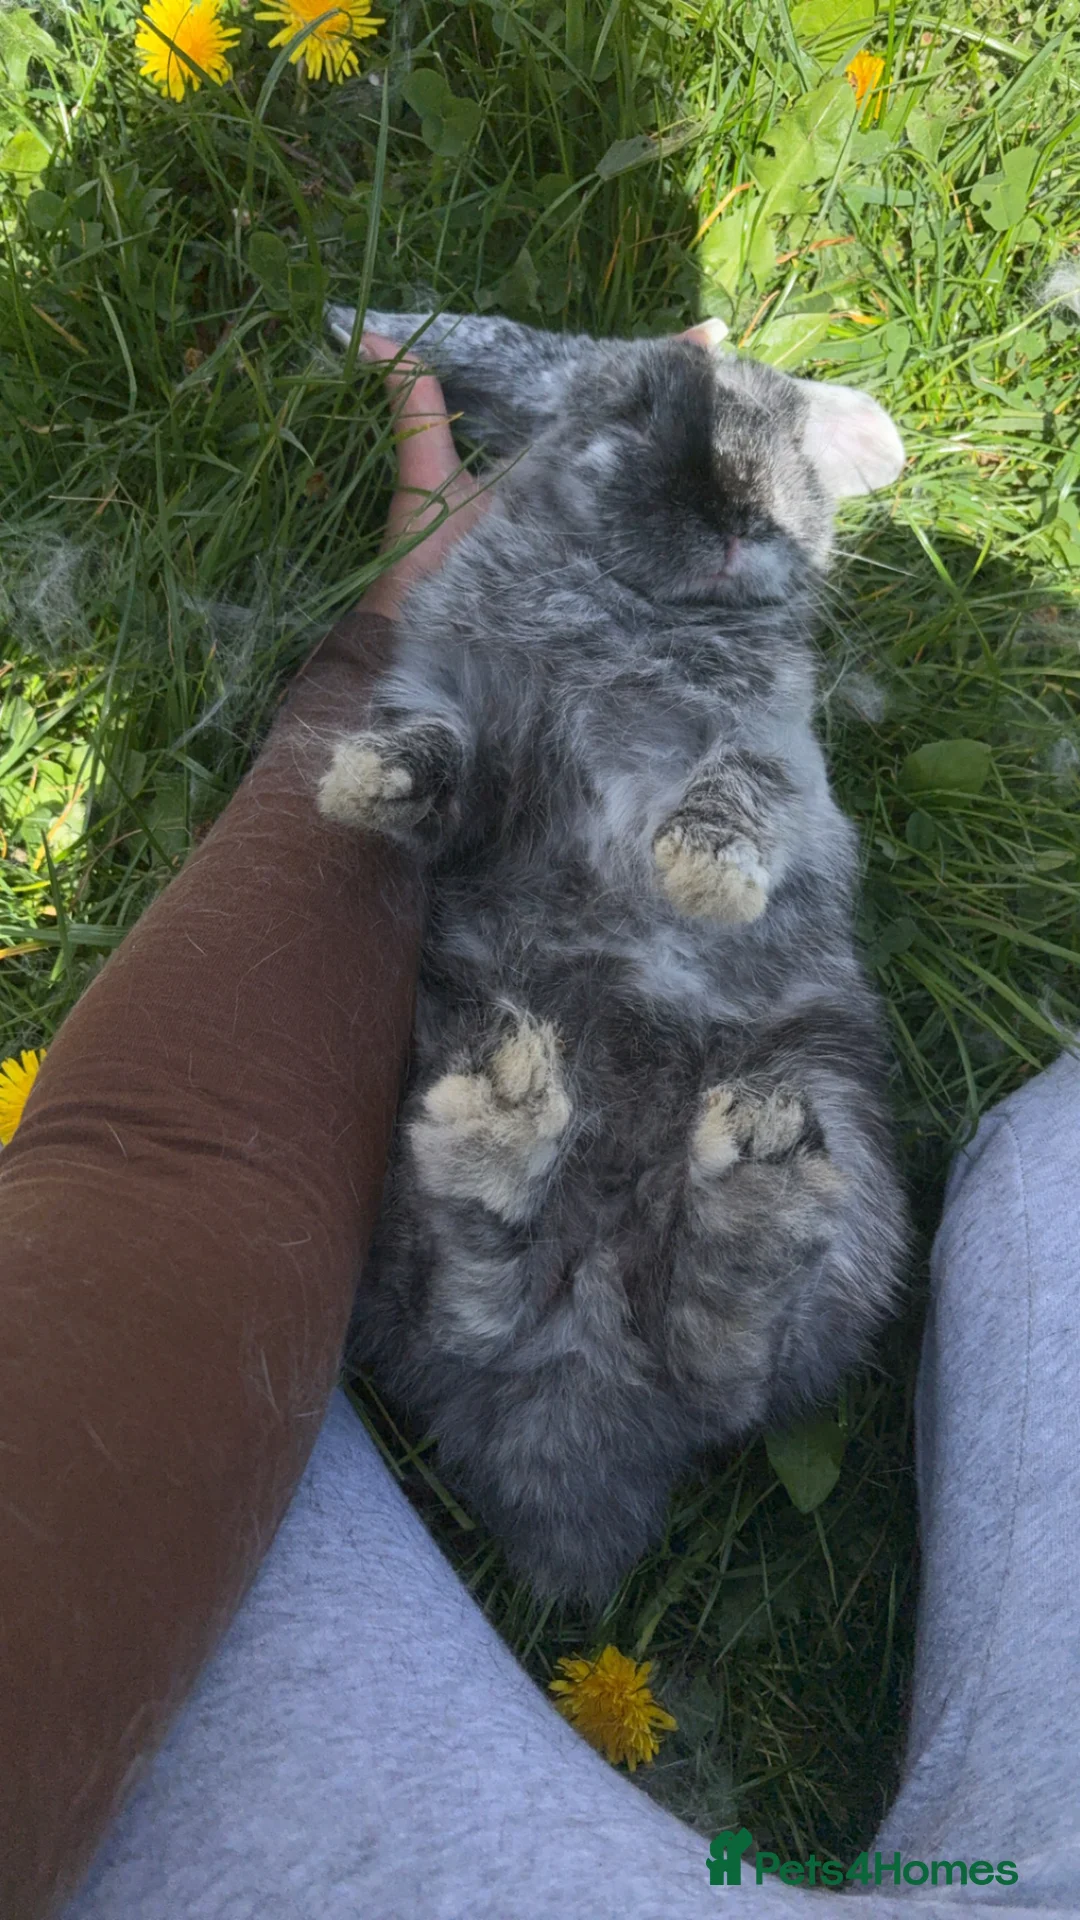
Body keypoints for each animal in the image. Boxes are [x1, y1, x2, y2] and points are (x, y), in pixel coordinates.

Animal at [317, 302, 909, 1604]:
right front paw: (363, 780)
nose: (739, 518)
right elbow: (445, 758)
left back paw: (752, 1176)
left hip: (842, 1133)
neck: (631, 609)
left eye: (791, 446)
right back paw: (502, 1121)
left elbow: (740, 789)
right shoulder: (489, 741)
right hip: (395, 1138)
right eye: (636, 413)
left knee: (725, 1359)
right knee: (464, 1306)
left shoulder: (770, 757)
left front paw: (698, 877)